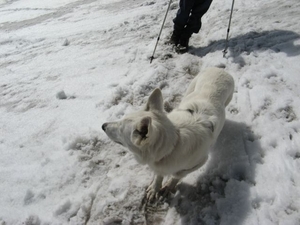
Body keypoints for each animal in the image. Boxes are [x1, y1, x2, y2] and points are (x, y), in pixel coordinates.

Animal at [102, 67, 234, 200]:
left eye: (120, 128)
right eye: (120, 120)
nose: (103, 126)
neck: (173, 145)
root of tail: (219, 69)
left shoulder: (200, 162)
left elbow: (178, 174)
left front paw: (169, 186)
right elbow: (159, 175)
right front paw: (155, 188)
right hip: (190, 90)